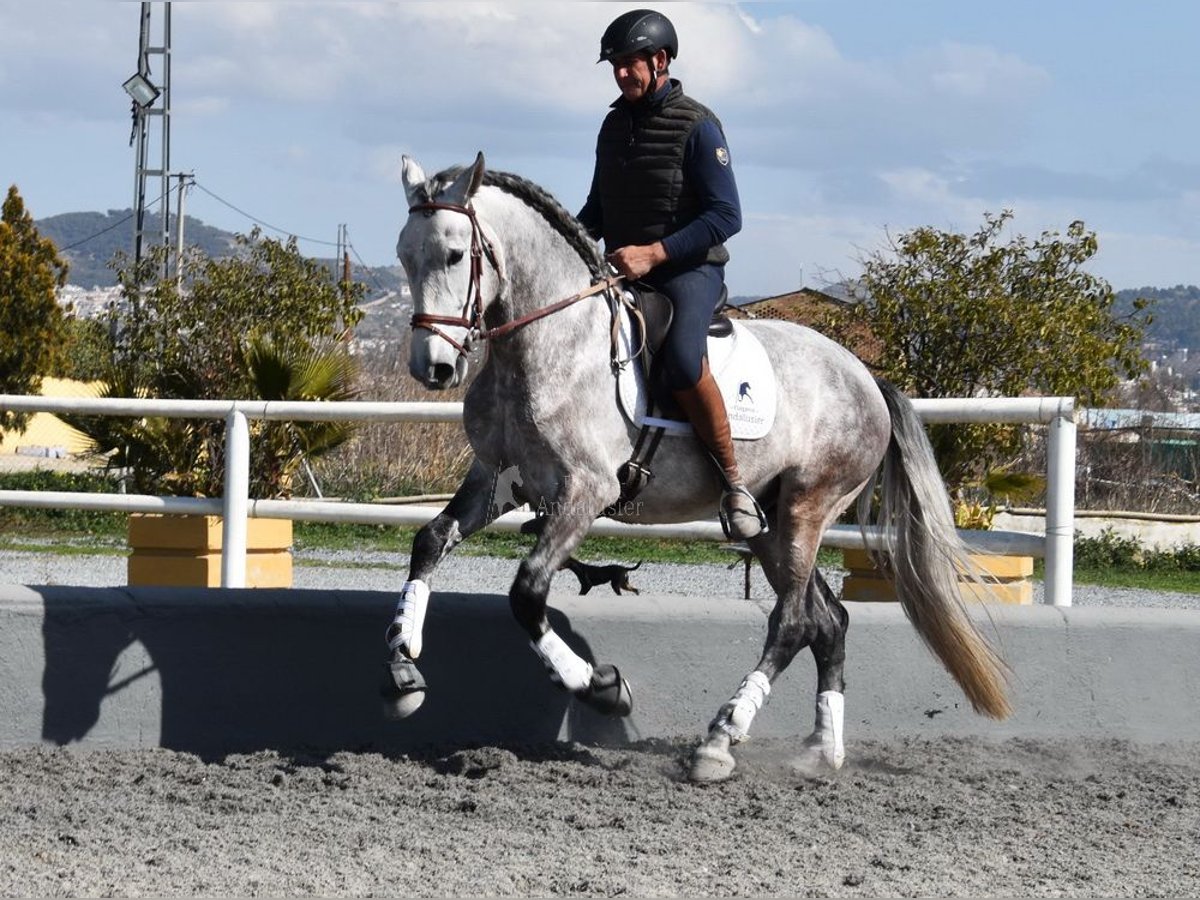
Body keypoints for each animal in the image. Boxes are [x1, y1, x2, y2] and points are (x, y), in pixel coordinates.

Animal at [386, 154, 1012, 782]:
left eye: (455, 254)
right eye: (404, 255)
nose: (432, 368)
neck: (549, 344)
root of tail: (867, 378)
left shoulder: (584, 491)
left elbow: (528, 591)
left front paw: (601, 686)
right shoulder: (501, 477)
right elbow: (430, 541)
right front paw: (403, 667)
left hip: (810, 504)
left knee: (792, 622)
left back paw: (721, 737)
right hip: (768, 522)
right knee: (827, 620)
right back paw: (821, 749)